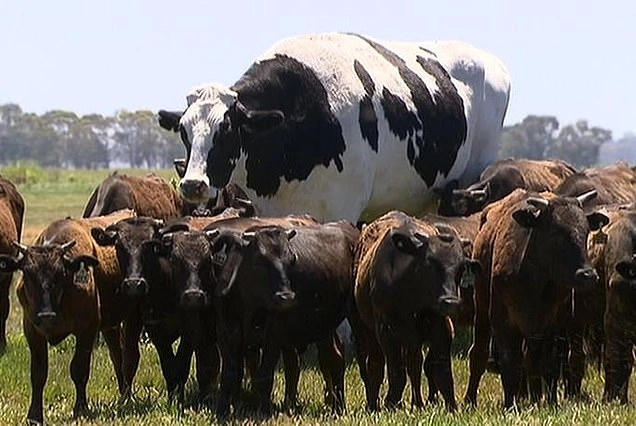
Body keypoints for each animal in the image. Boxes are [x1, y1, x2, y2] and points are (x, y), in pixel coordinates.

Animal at [352, 211, 476, 412]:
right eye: (429, 263)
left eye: (461, 268)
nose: (450, 301)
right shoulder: (387, 331)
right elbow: (397, 371)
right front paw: (391, 402)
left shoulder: (441, 327)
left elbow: (442, 371)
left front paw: (451, 406)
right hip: (368, 330)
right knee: (376, 365)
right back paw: (374, 404)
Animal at [464, 189, 608, 406]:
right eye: (557, 233)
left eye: (585, 232)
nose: (588, 275)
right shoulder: (503, 322)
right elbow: (510, 364)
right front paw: (510, 405)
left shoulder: (551, 325)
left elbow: (547, 364)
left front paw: (548, 402)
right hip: (481, 306)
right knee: (479, 353)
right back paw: (470, 400)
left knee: (533, 360)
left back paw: (532, 397)